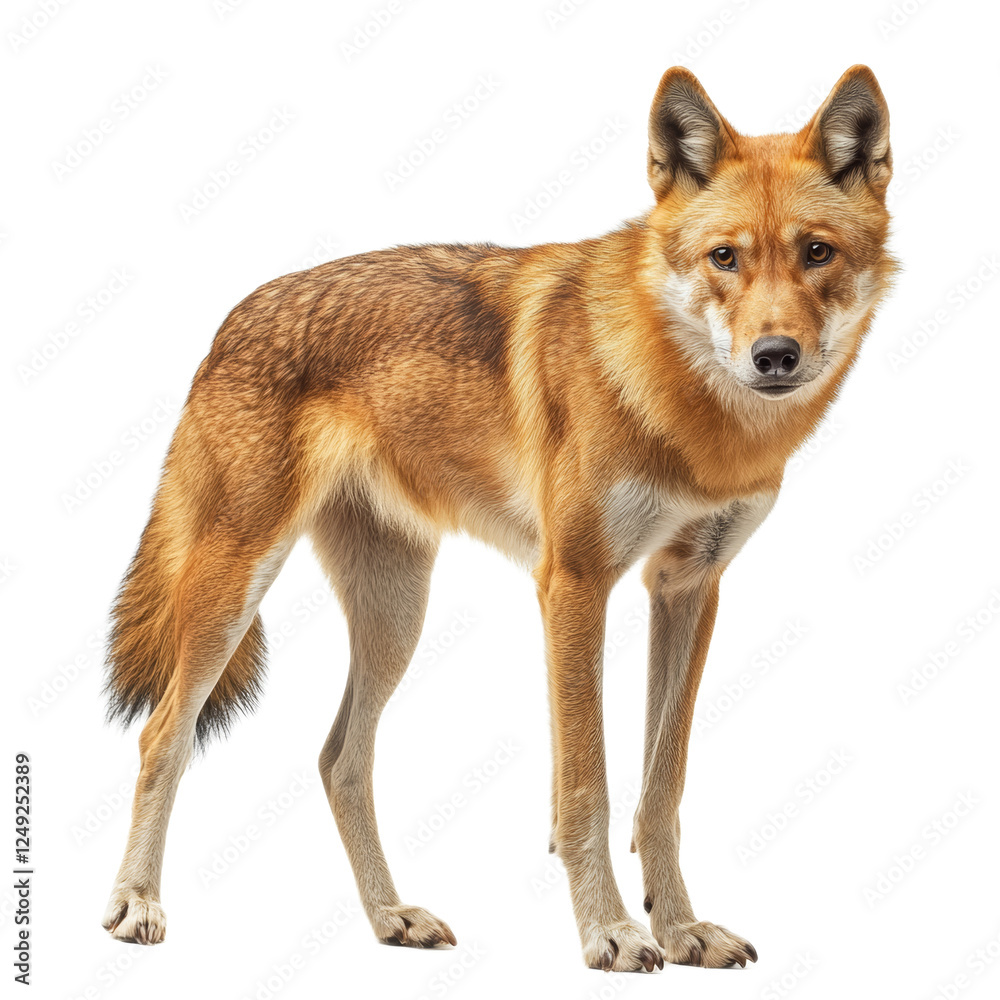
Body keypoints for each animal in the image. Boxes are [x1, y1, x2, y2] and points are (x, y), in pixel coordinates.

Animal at [102, 64, 895, 971]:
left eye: (817, 253)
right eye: (725, 257)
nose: (774, 357)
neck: (686, 413)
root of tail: (229, 319)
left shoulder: (687, 588)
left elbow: (661, 789)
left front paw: (682, 928)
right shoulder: (575, 584)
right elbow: (587, 786)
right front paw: (611, 933)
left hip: (395, 616)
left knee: (339, 759)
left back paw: (390, 918)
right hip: (237, 589)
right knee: (163, 736)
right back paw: (136, 904)